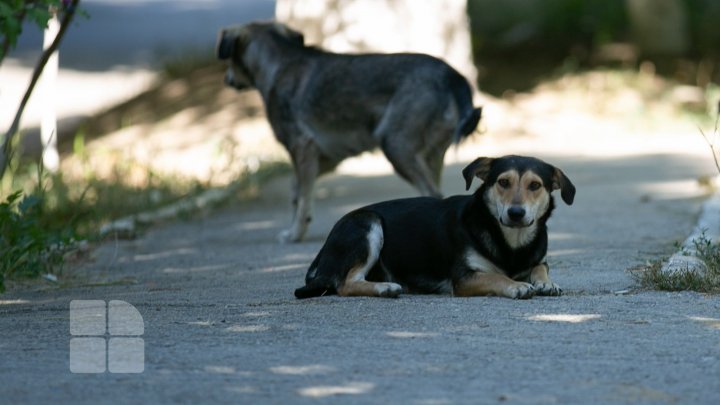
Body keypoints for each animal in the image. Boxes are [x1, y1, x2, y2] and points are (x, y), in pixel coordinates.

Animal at [217, 22, 480, 241]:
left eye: (229, 60)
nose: (227, 80)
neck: (278, 63)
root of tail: (451, 75)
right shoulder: (327, 158)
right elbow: (296, 190)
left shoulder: (302, 148)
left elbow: (302, 197)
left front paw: (295, 234)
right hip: (431, 156)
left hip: (396, 147)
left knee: (432, 192)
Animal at [292, 156, 572, 298]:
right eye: (503, 182)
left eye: (535, 185)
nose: (516, 213)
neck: (511, 241)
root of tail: (323, 250)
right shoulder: (464, 278)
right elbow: (496, 276)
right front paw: (517, 285)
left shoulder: (537, 258)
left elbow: (540, 267)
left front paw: (546, 283)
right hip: (368, 223)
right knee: (344, 284)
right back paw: (385, 288)